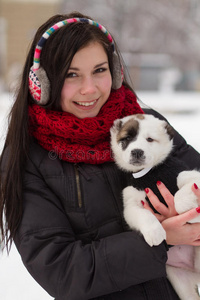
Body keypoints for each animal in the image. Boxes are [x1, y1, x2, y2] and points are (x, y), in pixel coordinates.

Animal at [110, 113, 200, 300]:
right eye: (127, 139)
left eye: (150, 139)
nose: (137, 151)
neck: (150, 173)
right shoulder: (131, 200)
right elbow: (142, 215)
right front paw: (154, 232)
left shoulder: (188, 174)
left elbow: (183, 185)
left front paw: (187, 208)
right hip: (181, 283)